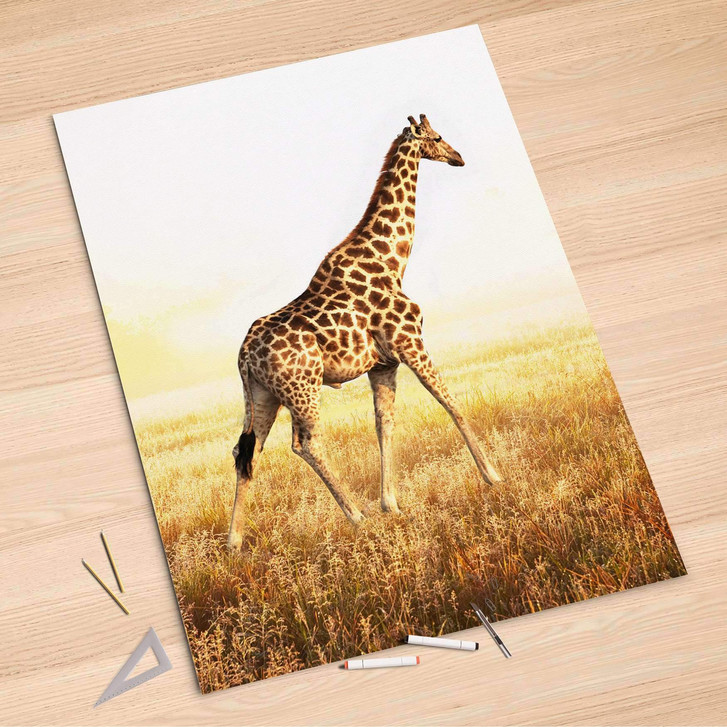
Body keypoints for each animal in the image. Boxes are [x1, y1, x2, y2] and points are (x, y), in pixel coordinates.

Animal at [228, 113, 501, 550]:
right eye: (438, 136)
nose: (458, 157)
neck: (392, 259)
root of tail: (243, 356)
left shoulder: (383, 364)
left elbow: (384, 424)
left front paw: (392, 504)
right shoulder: (410, 342)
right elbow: (451, 403)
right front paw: (493, 476)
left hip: (262, 395)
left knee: (246, 451)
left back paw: (234, 543)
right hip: (302, 388)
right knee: (306, 442)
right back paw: (355, 516)